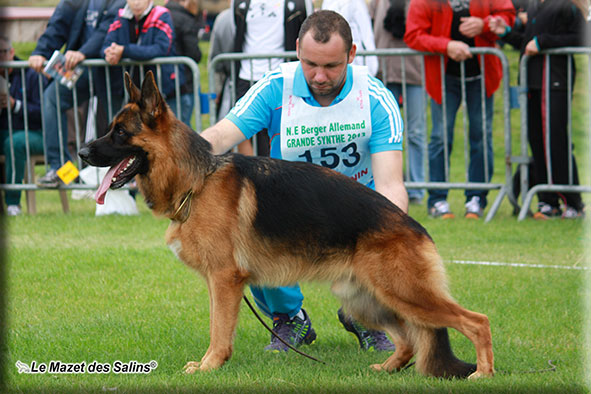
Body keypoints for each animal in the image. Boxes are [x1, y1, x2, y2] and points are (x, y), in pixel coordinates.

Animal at [78, 72, 494, 380]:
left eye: (119, 132)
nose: (80, 152)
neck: (197, 180)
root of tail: (413, 226)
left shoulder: (225, 280)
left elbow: (219, 328)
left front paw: (210, 365)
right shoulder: (218, 282)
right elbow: (216, 323)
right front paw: (212, 362)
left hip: (404, 294)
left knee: (477, 321)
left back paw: (483, 373)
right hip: (366, 299)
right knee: (408, 341)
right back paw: (387, 368)